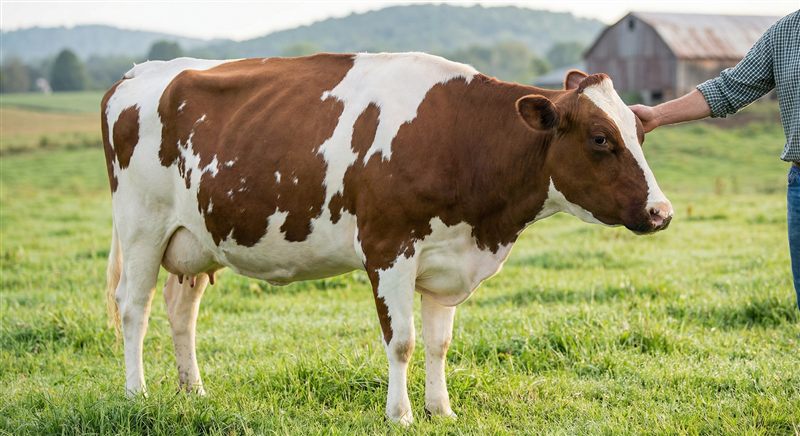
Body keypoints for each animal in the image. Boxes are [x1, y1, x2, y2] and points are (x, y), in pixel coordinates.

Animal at [102, 52, 672, 425]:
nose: (661, 212)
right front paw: (400, 415)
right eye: (600, 139)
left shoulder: (447, 257)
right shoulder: (388, 249)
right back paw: (136, 394)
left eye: (640, 132)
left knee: (181, 310)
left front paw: (442, 409)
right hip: (141, 226)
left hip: (195, 237)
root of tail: (135, 74)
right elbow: (402, 341)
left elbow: (439, 343)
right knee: (134, 308)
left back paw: (193, 391)